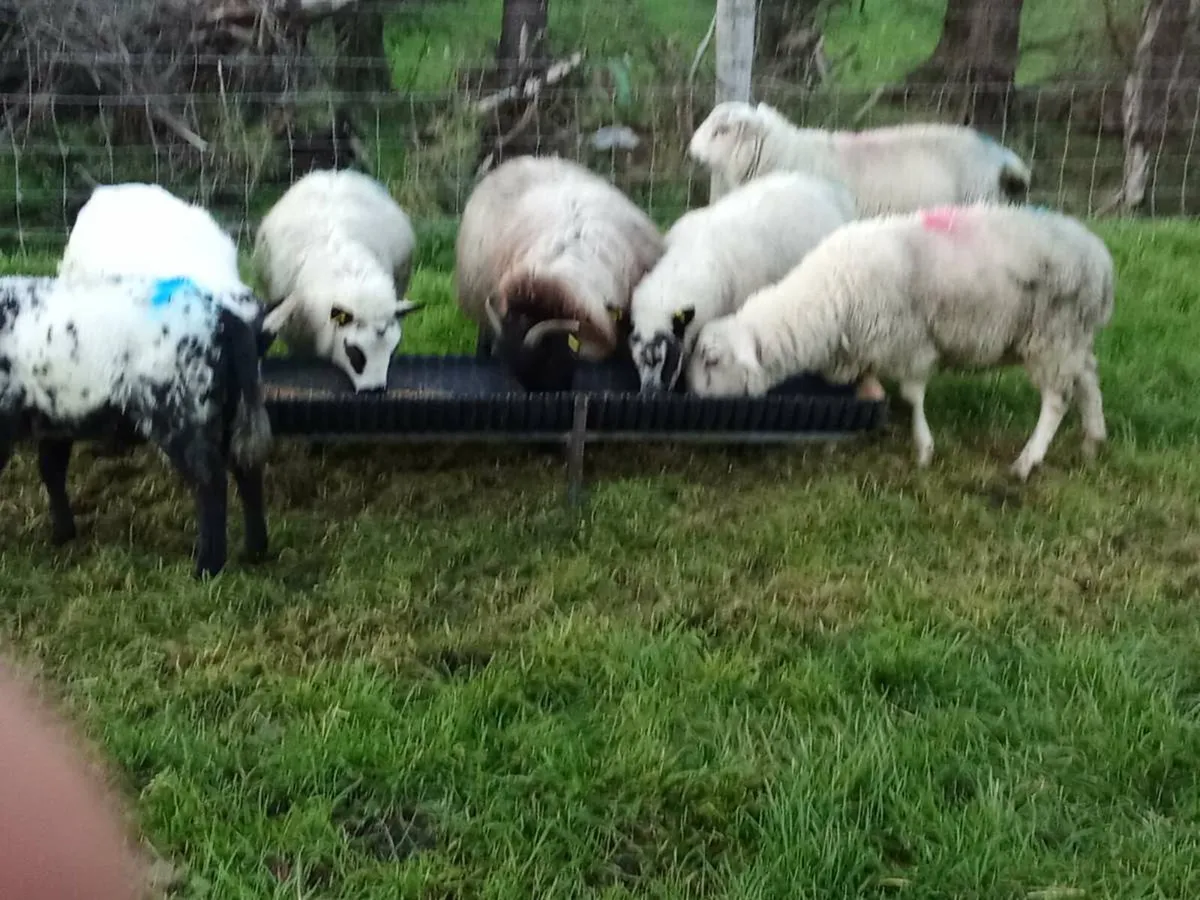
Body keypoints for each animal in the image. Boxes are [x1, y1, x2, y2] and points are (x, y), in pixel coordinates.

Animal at [0, 274, 273, 578]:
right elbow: (51, 470)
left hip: (182, 411)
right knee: (247, 470)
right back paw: (254, 551)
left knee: (210, 481)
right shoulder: (56, 418)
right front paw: (63, 534)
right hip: (229, 410)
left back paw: (206, 568)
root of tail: (224, 320)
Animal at [254, 169, 421, 392]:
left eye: (393, 349)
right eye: (354, 350)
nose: (373, 389)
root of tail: (334, 174)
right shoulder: (297, 336)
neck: (355, 279)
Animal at [686, 203, 1115, 480]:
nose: (690, 397)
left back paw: (1027, 462)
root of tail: (1101, 259)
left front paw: (923, 450)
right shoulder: (863, 349)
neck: (828, 298)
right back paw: (1093, 442)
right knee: (1088, 377)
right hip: (1072, 337)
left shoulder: (909, 342)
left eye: (711, 359)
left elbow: (911, 397)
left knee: (1056, 399)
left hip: (1052, 334)